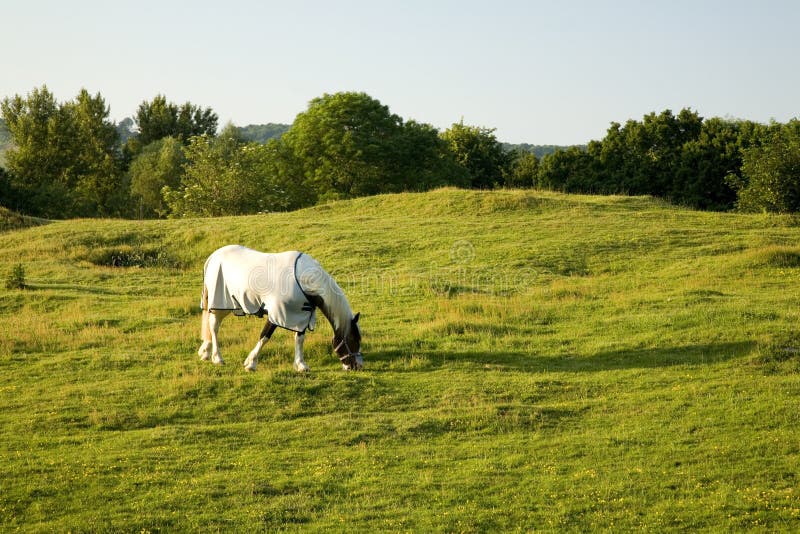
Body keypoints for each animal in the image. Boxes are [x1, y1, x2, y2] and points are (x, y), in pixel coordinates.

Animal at [198, 246, 364, 372]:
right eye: (353, 340)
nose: (357, 366)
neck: (303, 281)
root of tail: (213, 256)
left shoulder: (301, 315)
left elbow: (299, 339)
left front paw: (301, 365)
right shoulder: (277, 314)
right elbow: (264, 337)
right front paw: (251, 363)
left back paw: (205, 352)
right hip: (221, 304)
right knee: (214, 327)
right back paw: (217, 358)